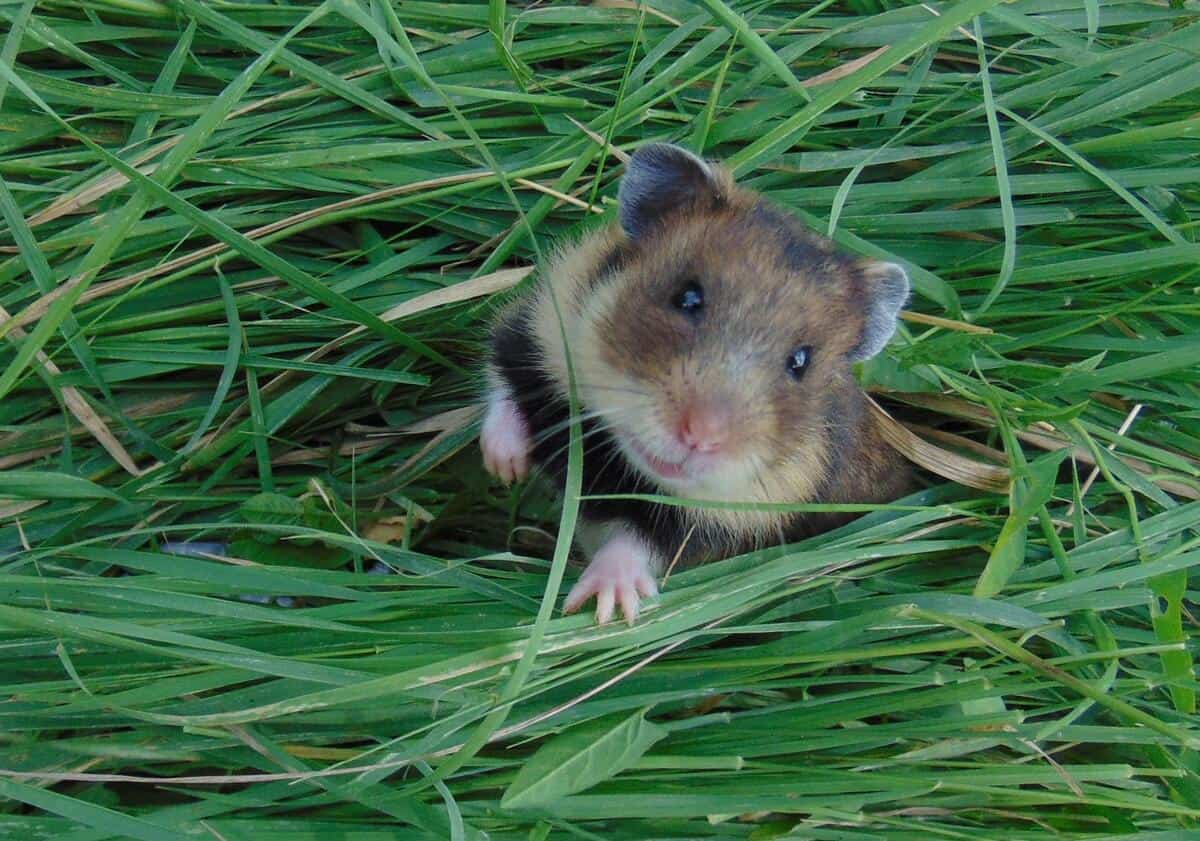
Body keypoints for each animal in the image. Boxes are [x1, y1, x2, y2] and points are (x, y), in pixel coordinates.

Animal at [482, 143, 912, 624]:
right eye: (687, 297)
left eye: (801, 361)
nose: (700, 438)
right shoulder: (537, 326)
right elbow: (504, 388)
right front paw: (505, 468)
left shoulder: (711, 528)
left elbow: (636, 546)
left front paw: (607, 610)